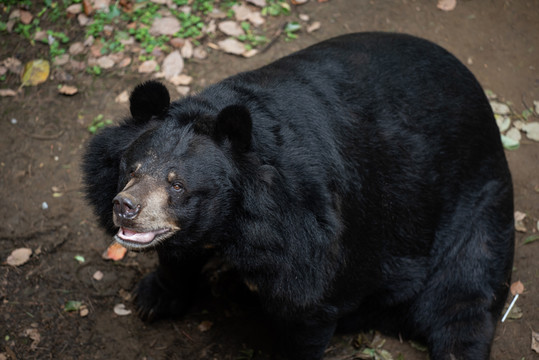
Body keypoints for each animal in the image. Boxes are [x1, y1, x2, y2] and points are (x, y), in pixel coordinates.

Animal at [83, 32, 516, 358]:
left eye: (177, 185)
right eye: (132, 169)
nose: (125, 208)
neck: (233, 223)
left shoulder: (310, 230)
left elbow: (309, 307)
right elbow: (175, 255)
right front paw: (153, 298)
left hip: (475, 207)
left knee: (463, 301)